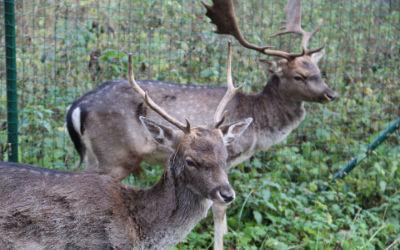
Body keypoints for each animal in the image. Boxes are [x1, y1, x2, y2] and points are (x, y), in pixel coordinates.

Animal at [65, 0, 338, 248]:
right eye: (299, 76)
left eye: (318, 70)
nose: (331, 94)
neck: (258, 122)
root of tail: (76, 107)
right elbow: (219, 211)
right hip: (117, 155)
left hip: (94, 156)